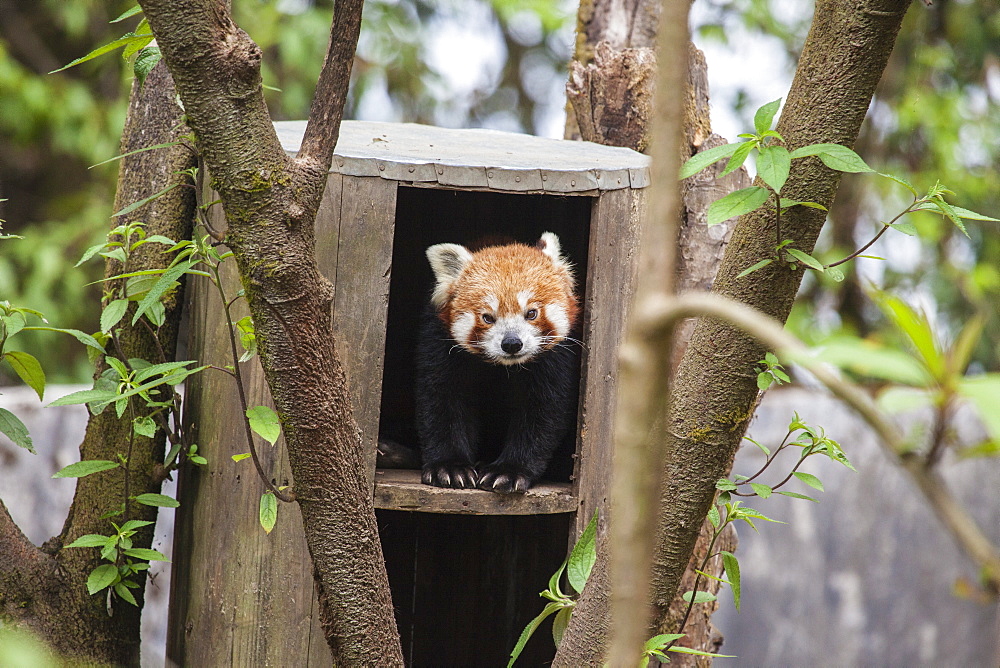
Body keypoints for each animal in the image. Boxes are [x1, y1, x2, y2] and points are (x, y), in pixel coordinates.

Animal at [414, 232, 584, 494]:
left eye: (531, 313)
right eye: (487, 317)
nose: (512, 343)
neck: (504, 368)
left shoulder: (556, 359)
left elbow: (544, 412)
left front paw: (509, 471)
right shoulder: (438, 342)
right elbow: (441, 401)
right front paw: (450, 467)